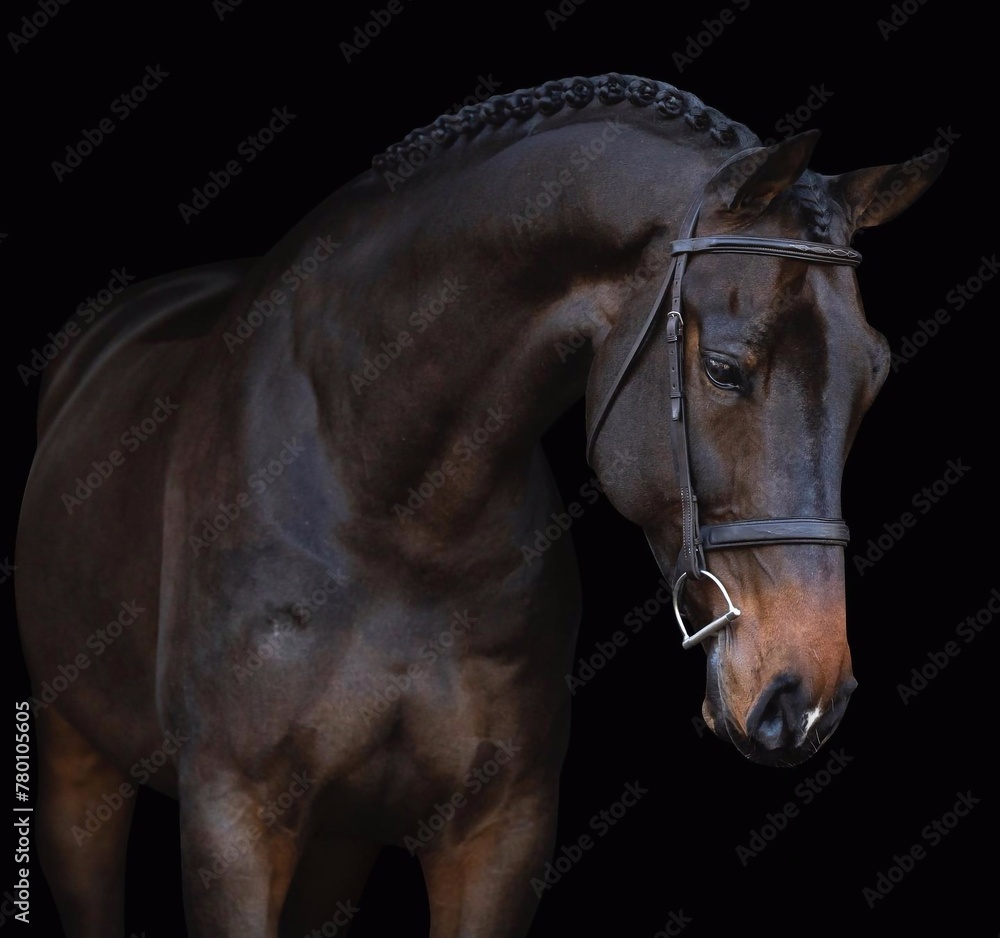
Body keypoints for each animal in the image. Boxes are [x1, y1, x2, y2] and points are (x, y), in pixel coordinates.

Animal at [16, 72, 944, 937]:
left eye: (875, 375)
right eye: (724, 368)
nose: (804, 697)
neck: (386, 511)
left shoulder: (500, 832)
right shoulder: (232, 821)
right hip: (75, 767)